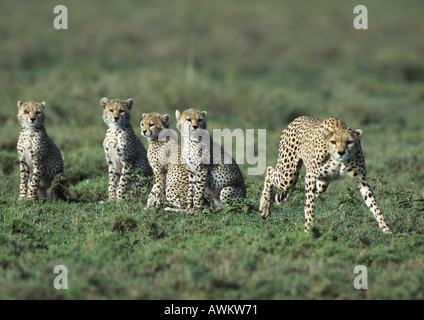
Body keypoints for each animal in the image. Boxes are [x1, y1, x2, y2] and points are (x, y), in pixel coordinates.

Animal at [256, 115, 390, 232]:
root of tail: (297, 118)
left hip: (322, 183)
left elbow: (373, 204)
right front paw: (308, 229)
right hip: (288, 174)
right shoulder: (310, 175)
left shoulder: (361, 179)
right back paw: (264, 206)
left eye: (349, 142)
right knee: (269, 171)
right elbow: (310, 205)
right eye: (333, 142)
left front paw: (385, 229)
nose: (341, 152)